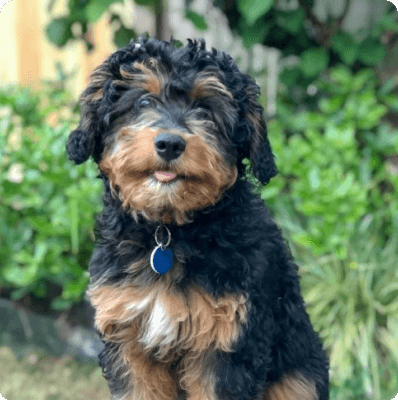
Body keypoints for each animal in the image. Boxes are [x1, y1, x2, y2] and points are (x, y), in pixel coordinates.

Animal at [67, 37, 330, 400]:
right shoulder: (127, 336)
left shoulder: (227, 343)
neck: (167, 232)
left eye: (205, 108)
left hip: (299, 377)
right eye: (144, 100)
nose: (169, 143)